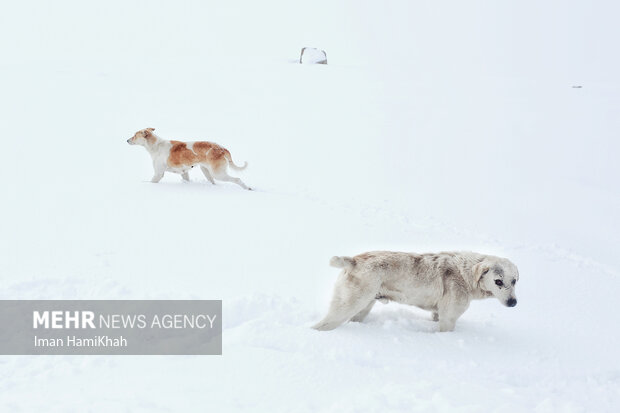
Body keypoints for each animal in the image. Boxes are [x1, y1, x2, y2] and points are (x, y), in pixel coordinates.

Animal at [312, 249, 520, 330]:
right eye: (498, 281)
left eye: (514, 281)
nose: (513, 302)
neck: (465, 274)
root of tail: (353, 260)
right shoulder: (448, 318)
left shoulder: (438, 314)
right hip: (348, 305)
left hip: (363, 307)